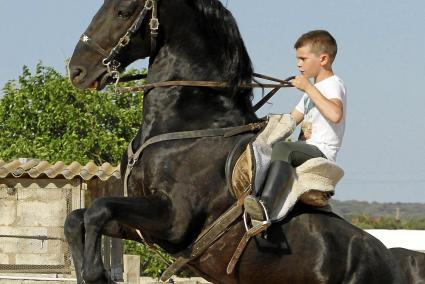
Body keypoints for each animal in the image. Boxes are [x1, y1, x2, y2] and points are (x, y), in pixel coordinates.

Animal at [64, 0, 420, 284]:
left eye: (123, 11)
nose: (77, 71)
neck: (190, 121)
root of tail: (392, 261)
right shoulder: (142, 225)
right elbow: (77, 218)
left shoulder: (172, 220)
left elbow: (97, 209)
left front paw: (95, 274)